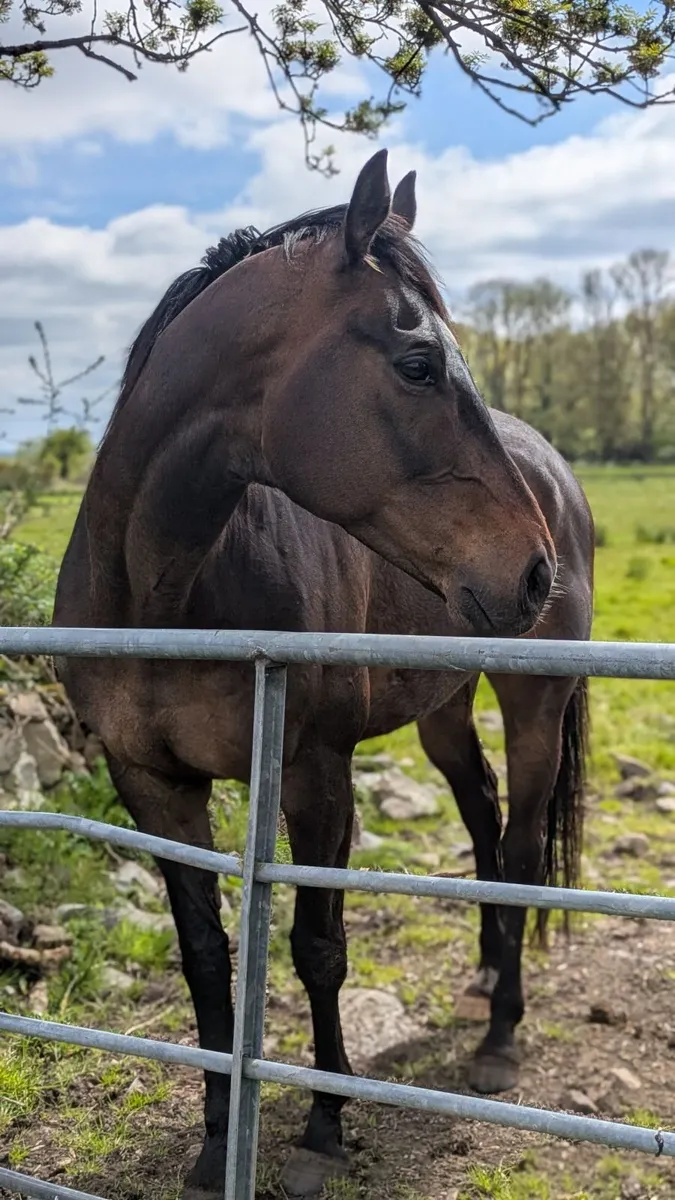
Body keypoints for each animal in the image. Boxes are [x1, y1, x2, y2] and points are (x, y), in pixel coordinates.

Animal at [51, 150, 588, 1200]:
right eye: (418, 365)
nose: (531, 572)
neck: (165, 588)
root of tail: (558, 475)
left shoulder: (314, 771)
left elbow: (316, 948)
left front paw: (323, 1125)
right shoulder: (151, 784)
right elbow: (206, 955)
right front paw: (217, 1136)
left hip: (533, 703)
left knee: (515, 849)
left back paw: (500, 1037)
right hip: (443, 709)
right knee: (481, 813)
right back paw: (481, 976)